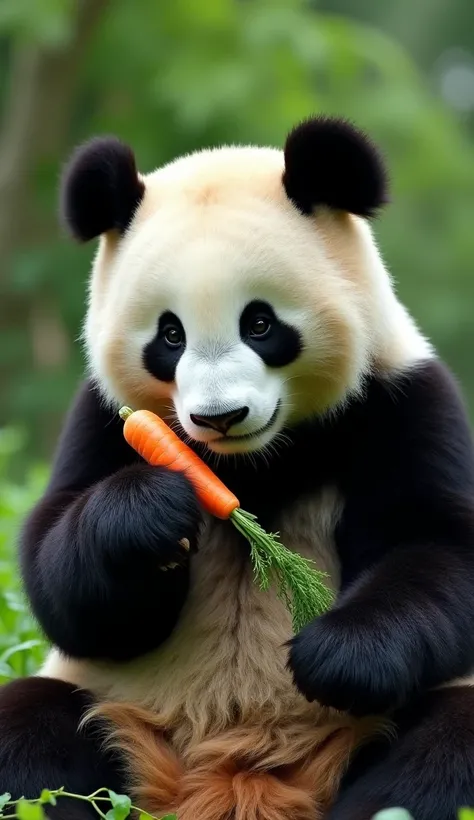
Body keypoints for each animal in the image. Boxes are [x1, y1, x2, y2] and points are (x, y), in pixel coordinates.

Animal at [2, 115, 474, 820]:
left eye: (260, 322)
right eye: (169, 336)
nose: (219, 417)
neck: (254, 464)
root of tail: (228, 784)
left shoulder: (400, 398)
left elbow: (438, 543)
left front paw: (335, 654)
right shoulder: (104, 418)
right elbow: (64, 582)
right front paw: (148, 513)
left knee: (446, 749)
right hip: (117, 710)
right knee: (28, 733)